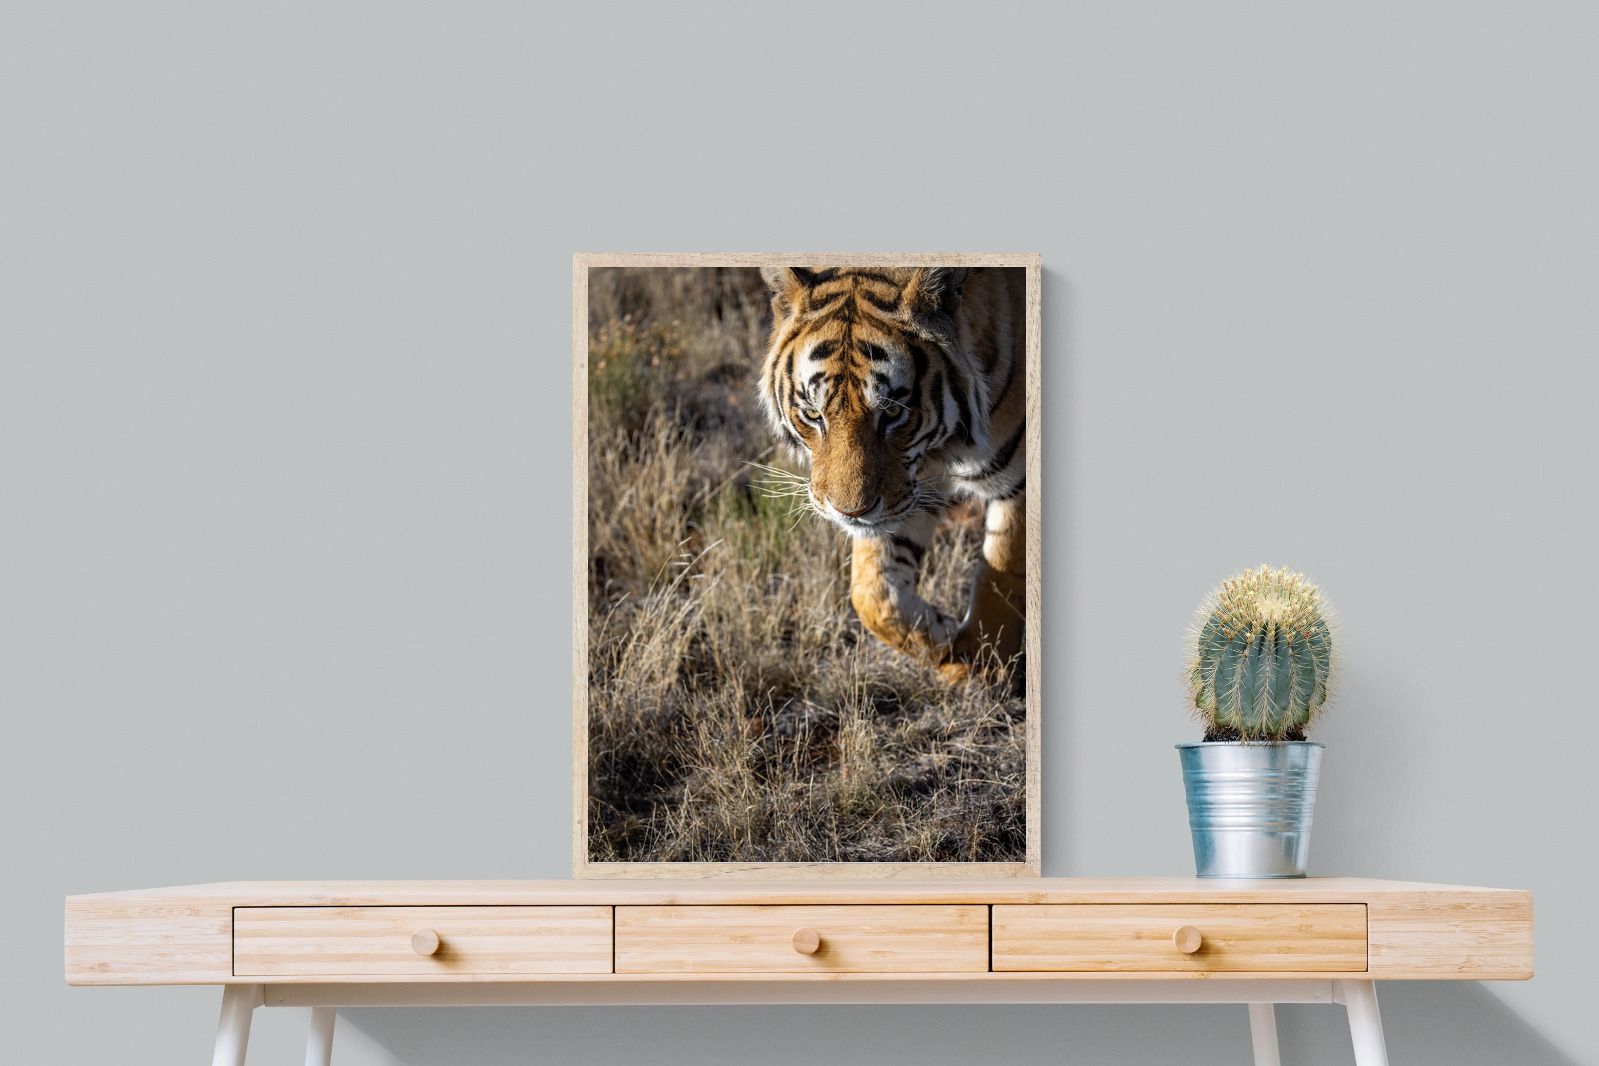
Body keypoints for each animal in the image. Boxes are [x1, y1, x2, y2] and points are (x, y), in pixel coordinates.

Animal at [757, 266, 1028, 682]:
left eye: (894, 412)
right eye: (814, 415)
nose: (850, 512)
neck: (943, 447)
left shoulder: (1019, 481)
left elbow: (1001, 574)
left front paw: (980, 666)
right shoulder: (908, 489)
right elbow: (871, 593)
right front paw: (941, 636)